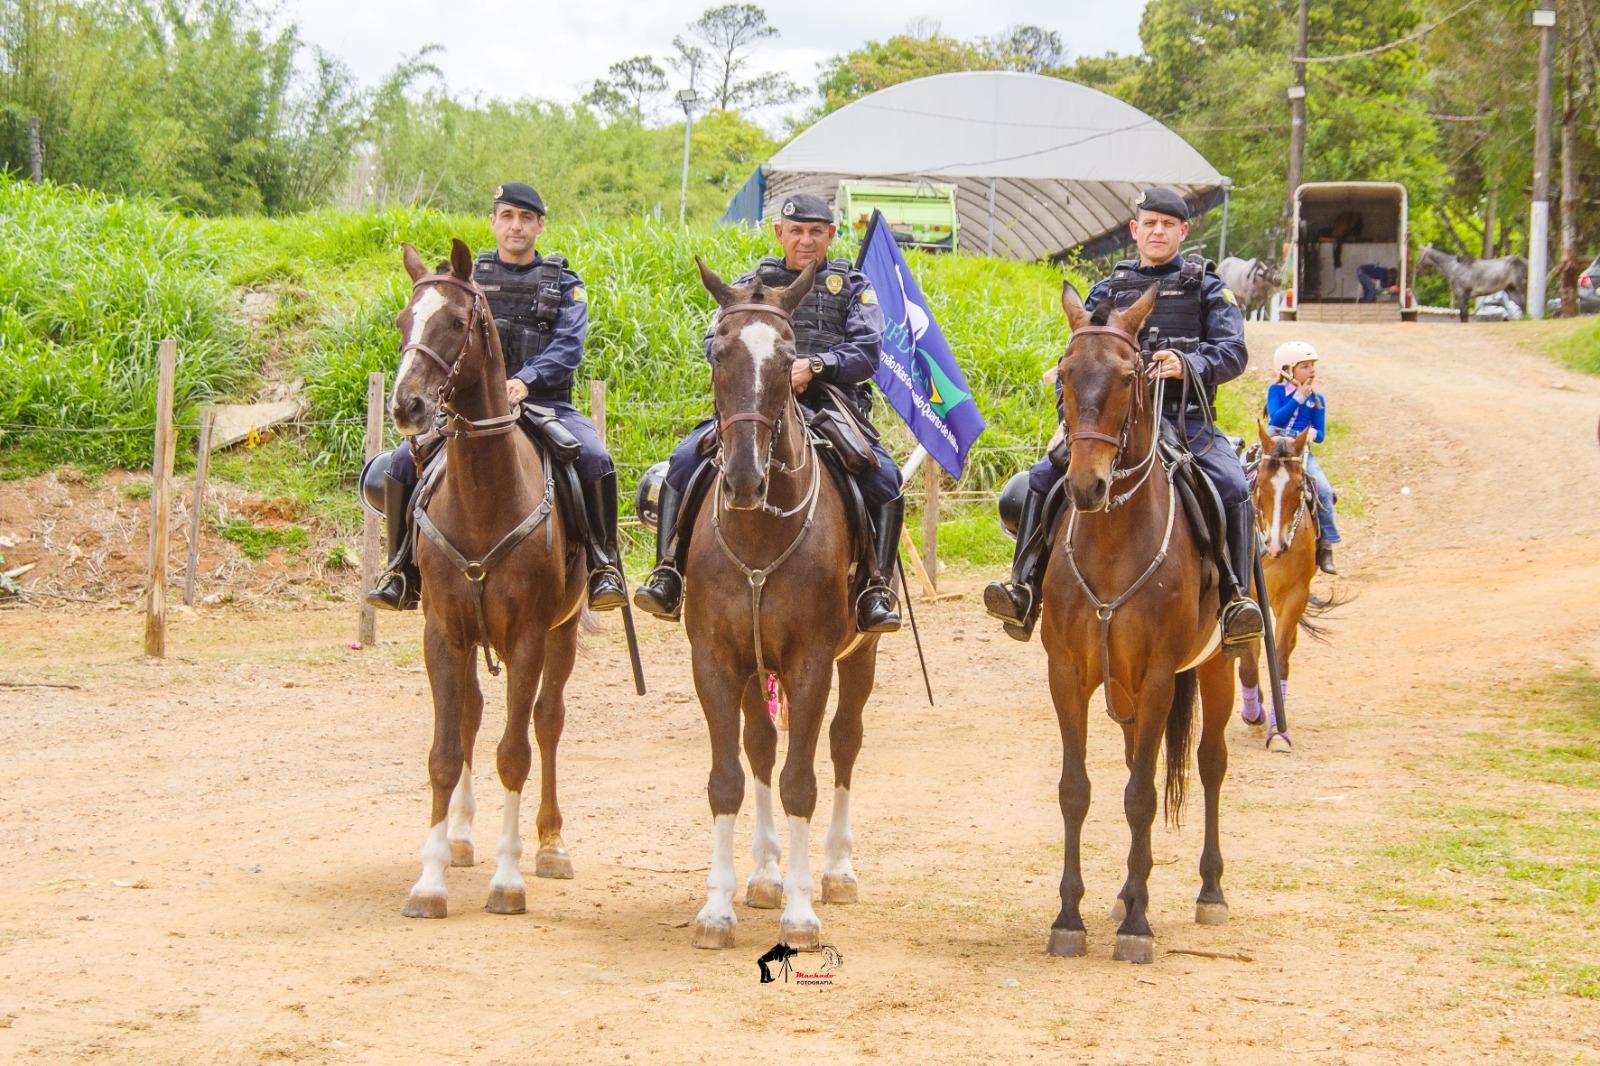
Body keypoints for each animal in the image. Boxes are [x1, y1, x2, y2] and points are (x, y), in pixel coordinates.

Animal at [388, 239, 590, 920]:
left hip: (562, 634)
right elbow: (444, 753)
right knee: (472, 715)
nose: (407, 406)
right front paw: (428, 881)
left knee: (547, 722)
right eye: (404, 321)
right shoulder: (443, 635)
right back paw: (459, 837)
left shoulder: (527, 637)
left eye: (455, 322)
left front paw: (509, 880)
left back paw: (551, 845)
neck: (482, 498)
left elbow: (515, 753)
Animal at [682, 257, 881, 951]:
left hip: (861, 654)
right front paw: (717, 909)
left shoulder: (811, 664)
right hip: (752, 667)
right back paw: (765, 874)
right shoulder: (716, 660)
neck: (758, 533)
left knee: (845, 743)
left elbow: (801, 782)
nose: (745, 477)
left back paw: (837, 871)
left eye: (790, 356)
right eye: (717, 352)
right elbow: (727, 778)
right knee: (762, 745)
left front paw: (800, 913)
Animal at [1039, 281, 1239, 964]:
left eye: (1130, 378)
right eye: (1065, 373)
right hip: (1124, 688)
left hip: (1220, 665)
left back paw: (1208, 892)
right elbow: (1077, 790)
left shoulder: (1157, 678)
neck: (1113, 543)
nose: (1086, 485)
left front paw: (1137, 928)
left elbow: (1143, 796)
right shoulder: (1067, 674)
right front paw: (1070, 917)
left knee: (1209, 763)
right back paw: (1127, 893)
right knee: (1134, 760)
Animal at [1238, 425, 1326, 750]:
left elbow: (1280, 657)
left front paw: (1278, 731)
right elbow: (1248, 662)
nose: (1276, 546)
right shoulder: (1248, 595)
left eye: (1299, 487)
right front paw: (1254, 714)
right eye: (1261, 483)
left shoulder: (1295, 596)